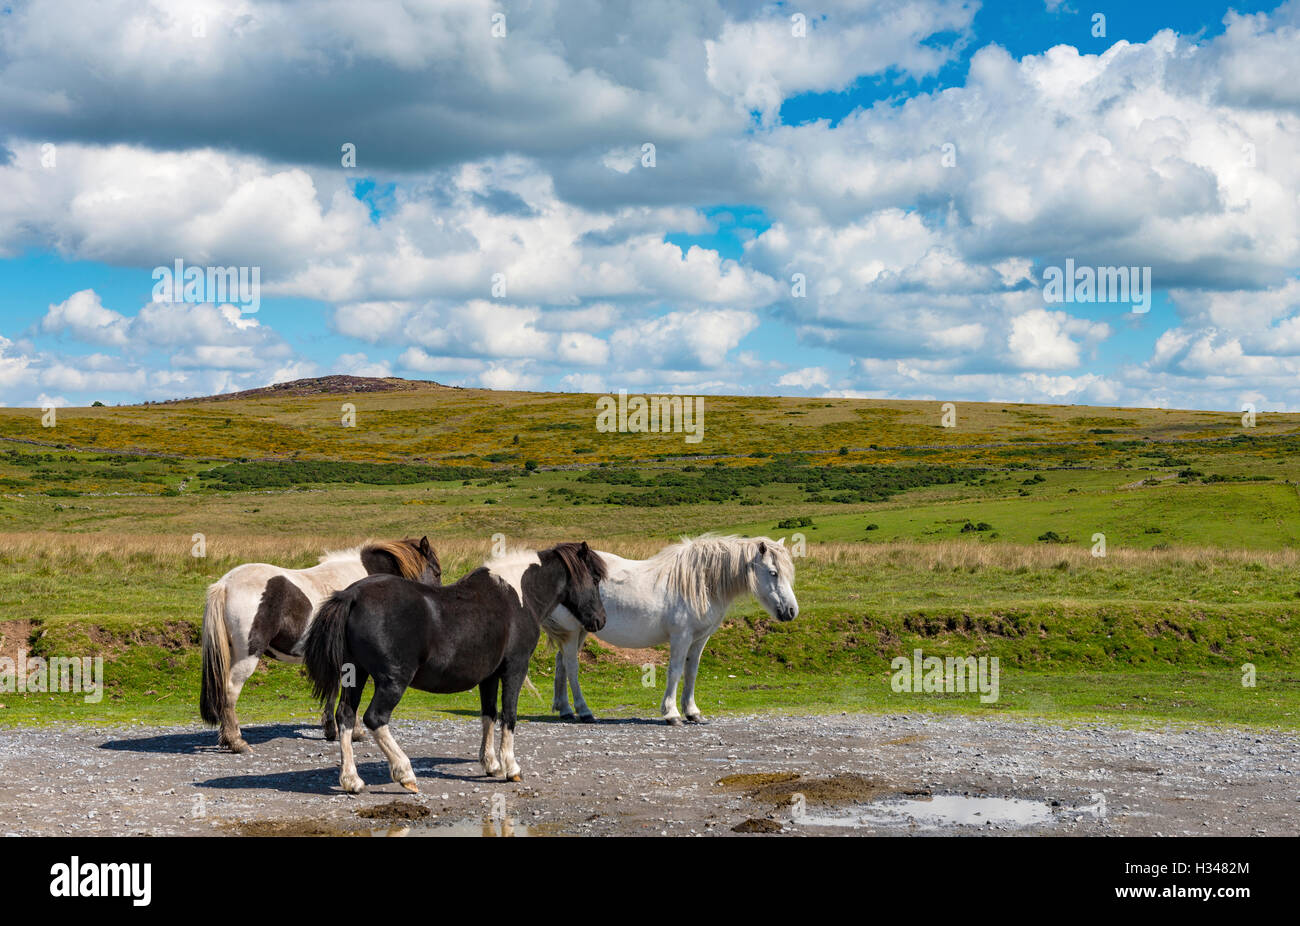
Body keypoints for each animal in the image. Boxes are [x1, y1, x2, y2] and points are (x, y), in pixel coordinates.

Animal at [198, 535, 441, 754]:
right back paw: (236, 742)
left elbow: (333, 690)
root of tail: (225, 584)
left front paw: (331, 729)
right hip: (247, 656)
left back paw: (226, 738)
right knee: (230, 691)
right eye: (437, 572)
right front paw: (355, 731)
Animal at [543, 535, 795, 723]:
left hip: (581, 631)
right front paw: (671, 713)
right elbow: (674, 671)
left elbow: (691, 671)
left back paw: (565, 710)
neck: (700, 582)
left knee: (561, 663)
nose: (791, 611)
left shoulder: (699, 639)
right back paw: (584, 711)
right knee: (572, 667)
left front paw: (692, 712)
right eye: (773, 573)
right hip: (572, 631)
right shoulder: (681, 637)